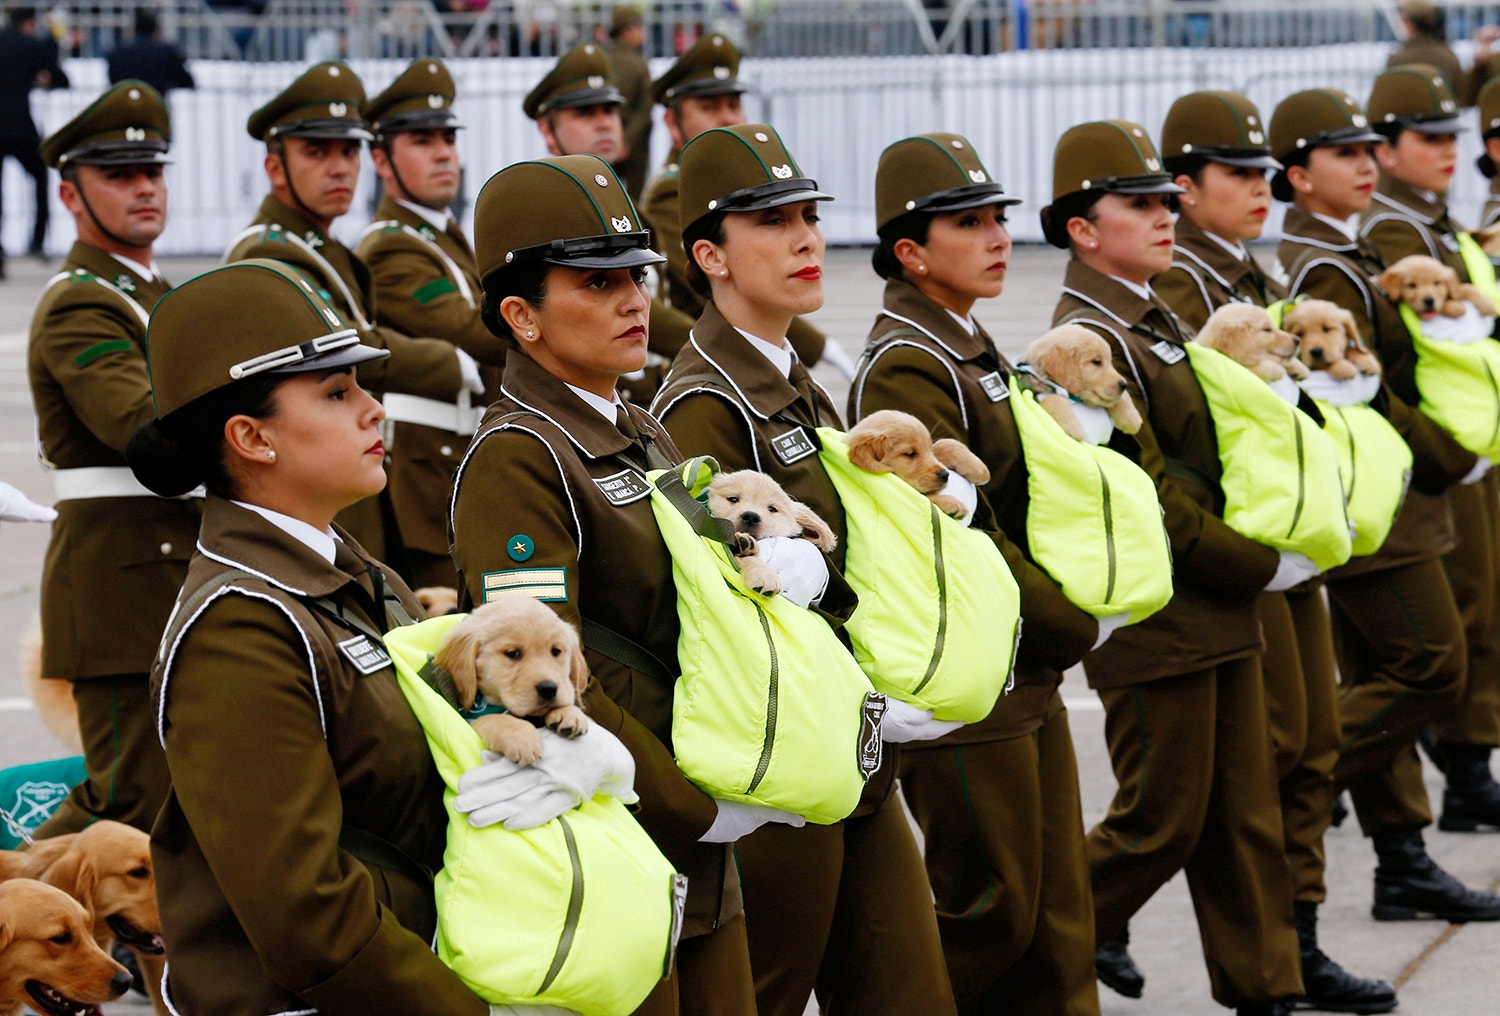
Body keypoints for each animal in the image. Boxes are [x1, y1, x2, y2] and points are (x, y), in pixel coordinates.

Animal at [432, 591, 588, 765]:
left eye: (556, 651)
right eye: (513, 653)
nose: (548, 689)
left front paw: (569, 713)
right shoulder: (468, 719)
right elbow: (492, 719)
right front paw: (521, 737)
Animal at [852, 408, 990, 516]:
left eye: (928, 448)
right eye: (910, 454)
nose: (945, 475)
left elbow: (944, 443)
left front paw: (979, 470)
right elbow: (919, 499)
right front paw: (948, 503)